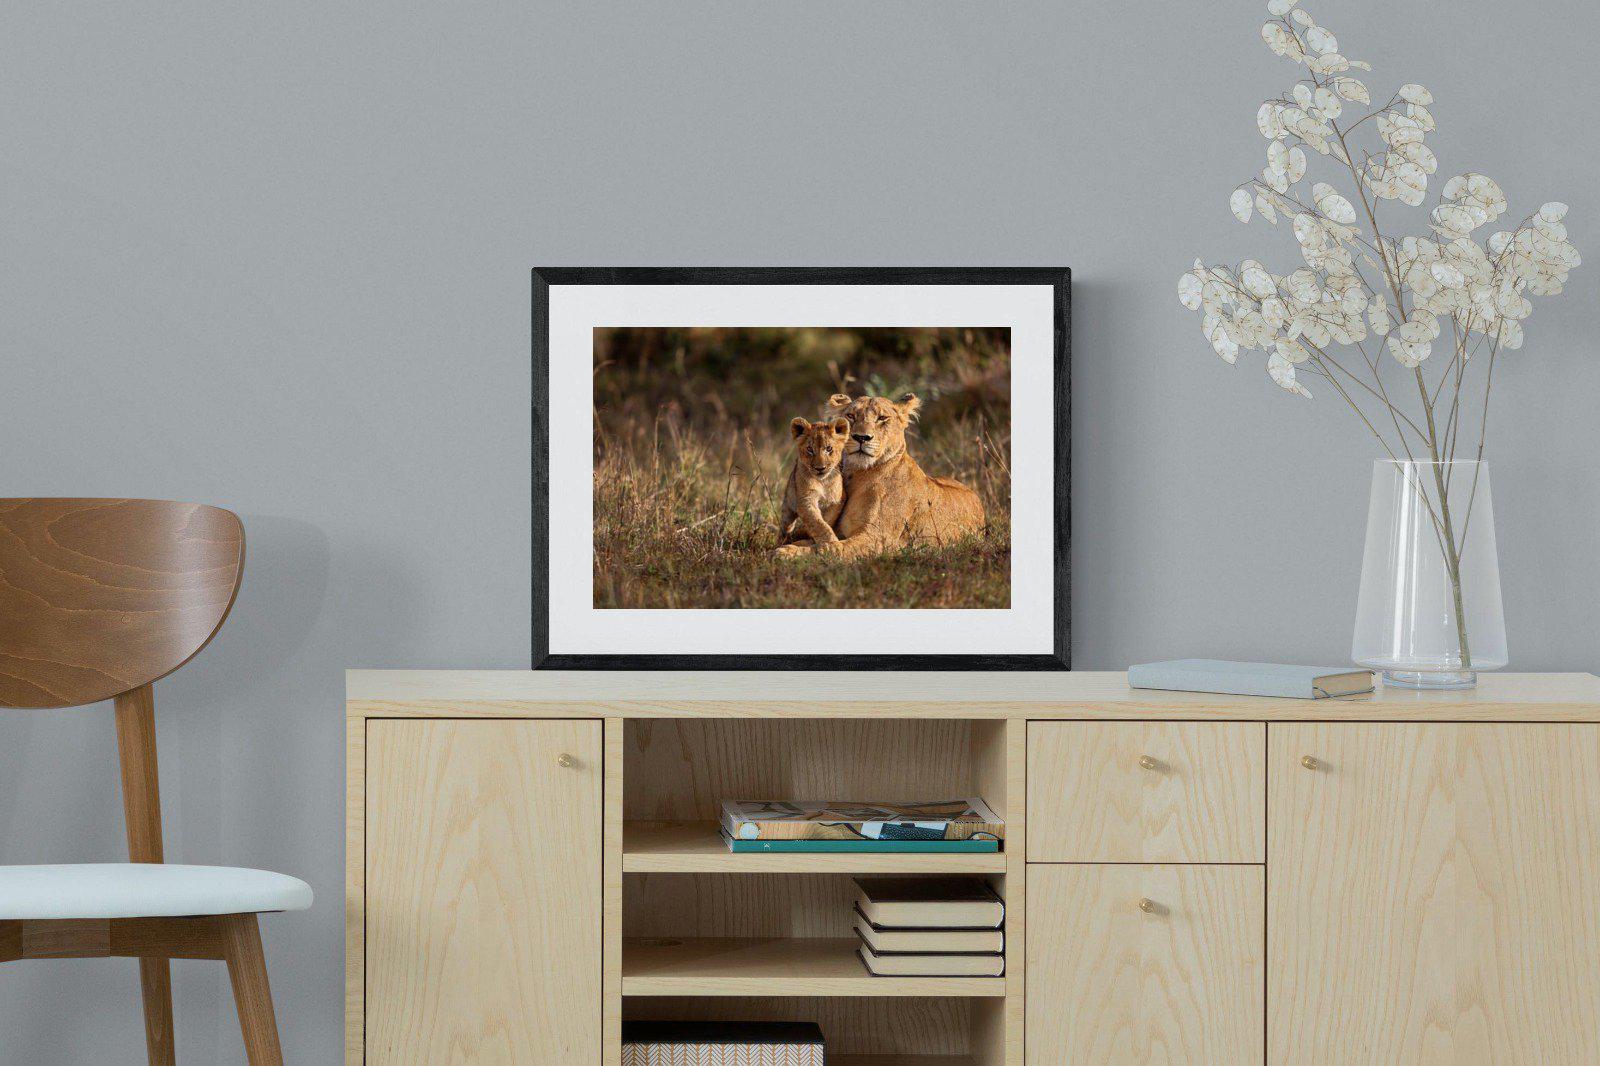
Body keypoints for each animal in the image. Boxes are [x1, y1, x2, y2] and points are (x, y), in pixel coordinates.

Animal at [777, 416, 850, 547]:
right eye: (810, 449)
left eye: (829, 448)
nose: (820, 468)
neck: (823, 482)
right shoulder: (806, 500)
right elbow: (818, 523)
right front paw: (832, 544)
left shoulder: (838, 500)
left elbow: (826, 520)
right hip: (788, 506)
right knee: (785, 528)